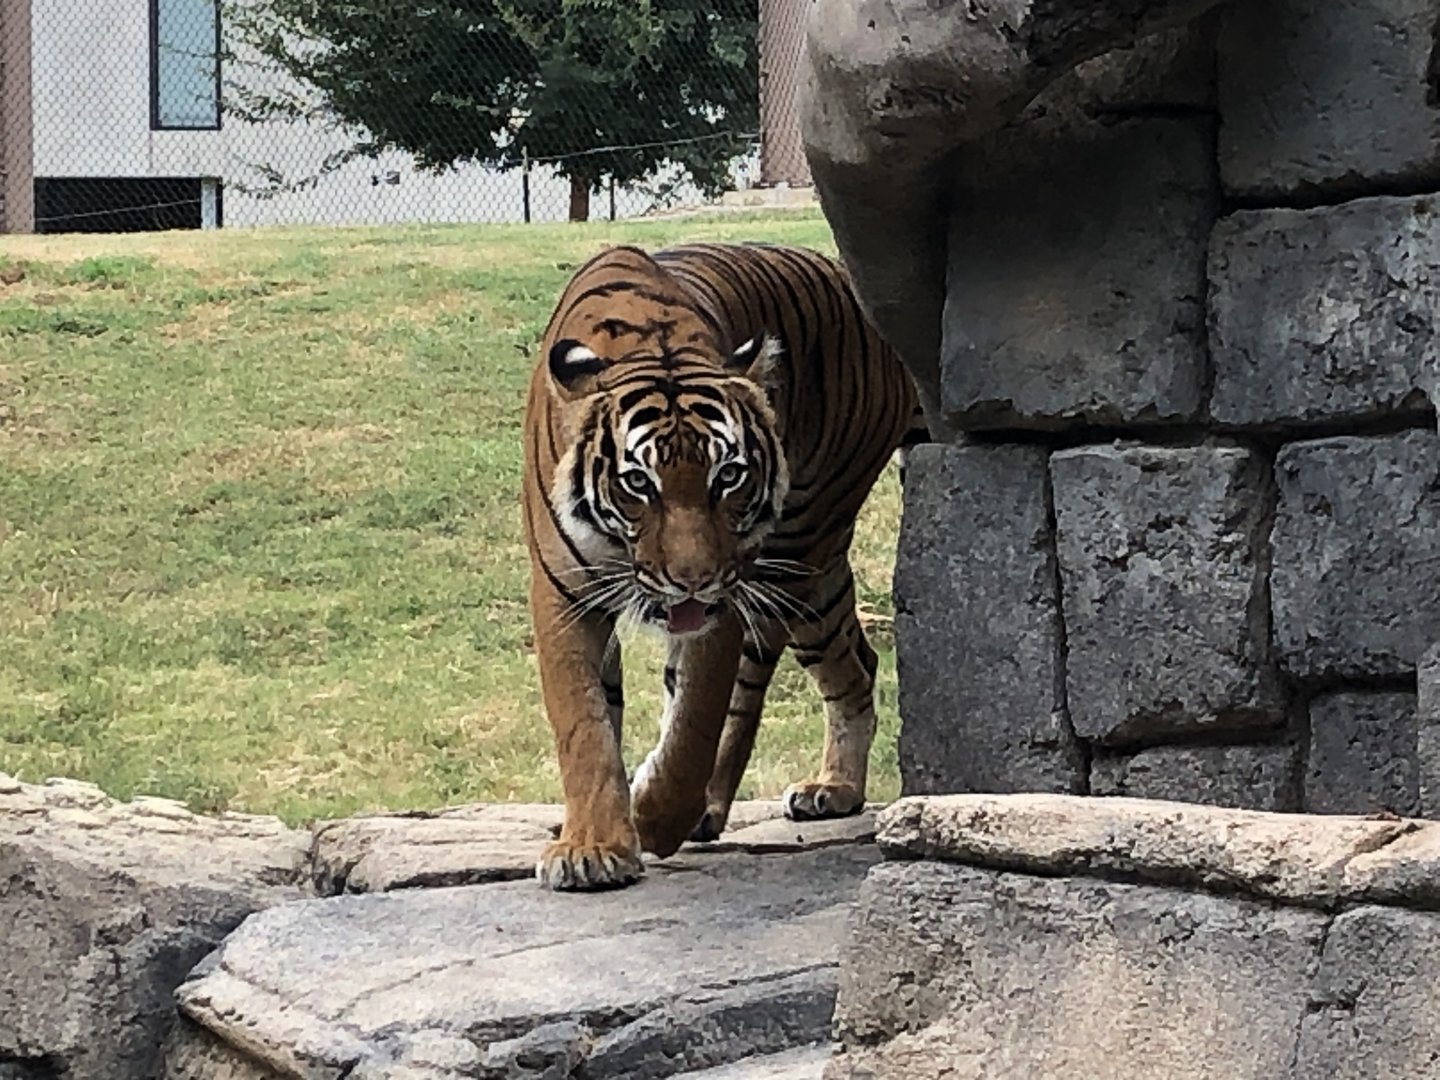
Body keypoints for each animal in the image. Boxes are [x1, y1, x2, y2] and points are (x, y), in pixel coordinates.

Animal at [521, 240, 922, 891]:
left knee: (764, 687)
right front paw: (592, 846)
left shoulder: (722, 606)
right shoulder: (563, 594)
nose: (694, 580)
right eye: (639, 483)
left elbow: (696, 722)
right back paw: (833, 786)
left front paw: (654, 820)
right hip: (819, 579)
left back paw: (739, 803)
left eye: (728, 475)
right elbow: (583, 722)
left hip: (799, 549)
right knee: (858, 661)